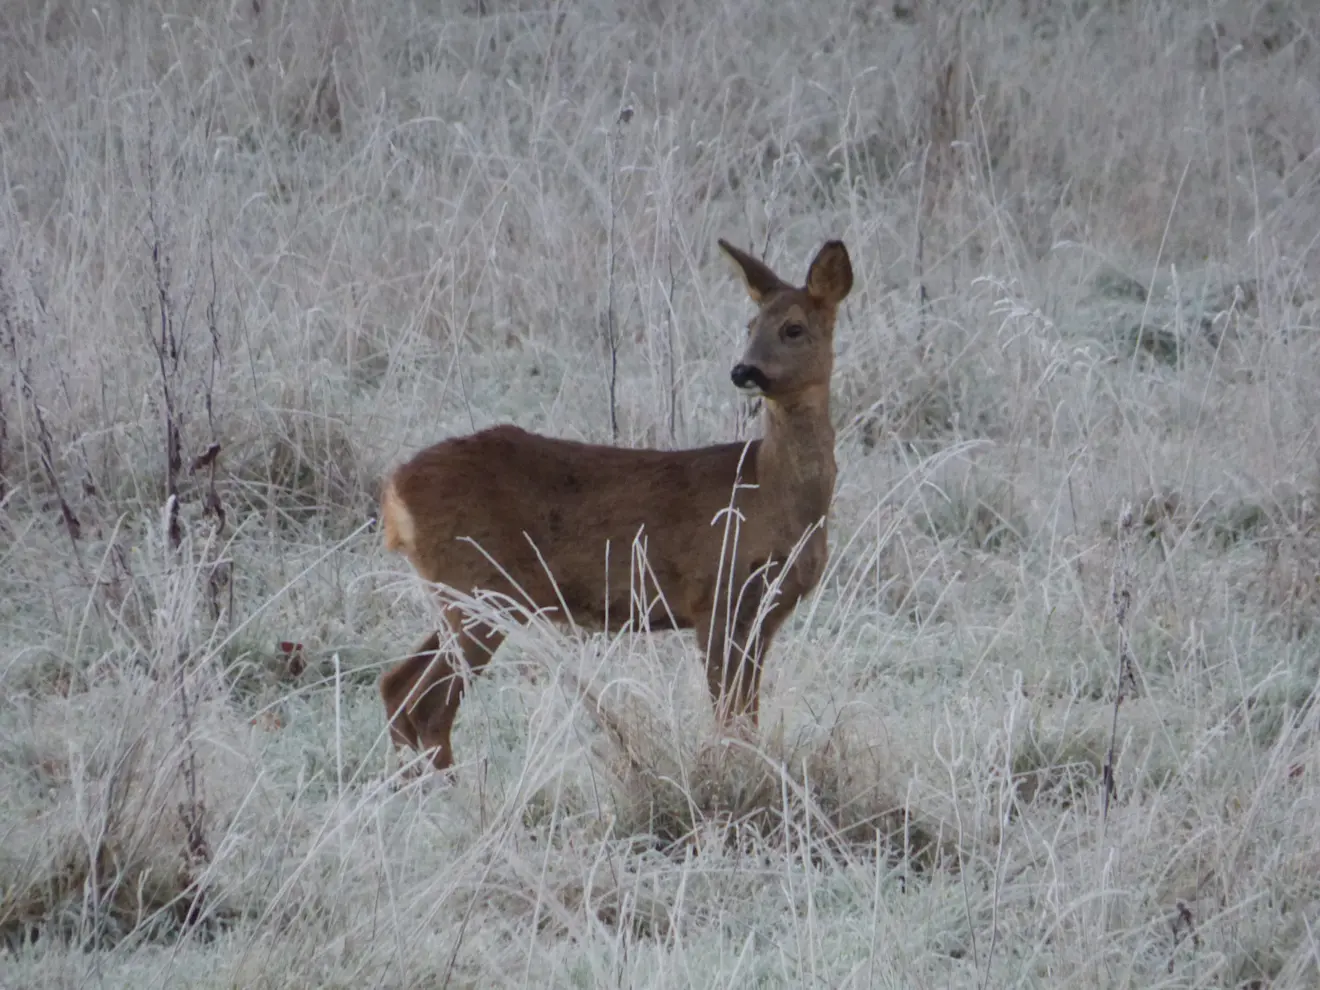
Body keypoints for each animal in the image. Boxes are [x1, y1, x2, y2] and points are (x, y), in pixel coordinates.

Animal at [382, 238, 855, 776]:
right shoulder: (715, 594)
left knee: (397, 687)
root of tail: (395, 489)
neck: (769, 492)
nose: (743, 371)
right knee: (427, 705)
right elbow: (728, 716)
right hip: (479, 586)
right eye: (750, 326)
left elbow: (744, 716)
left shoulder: (763, 613)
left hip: (462, 595)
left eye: (793, 328)